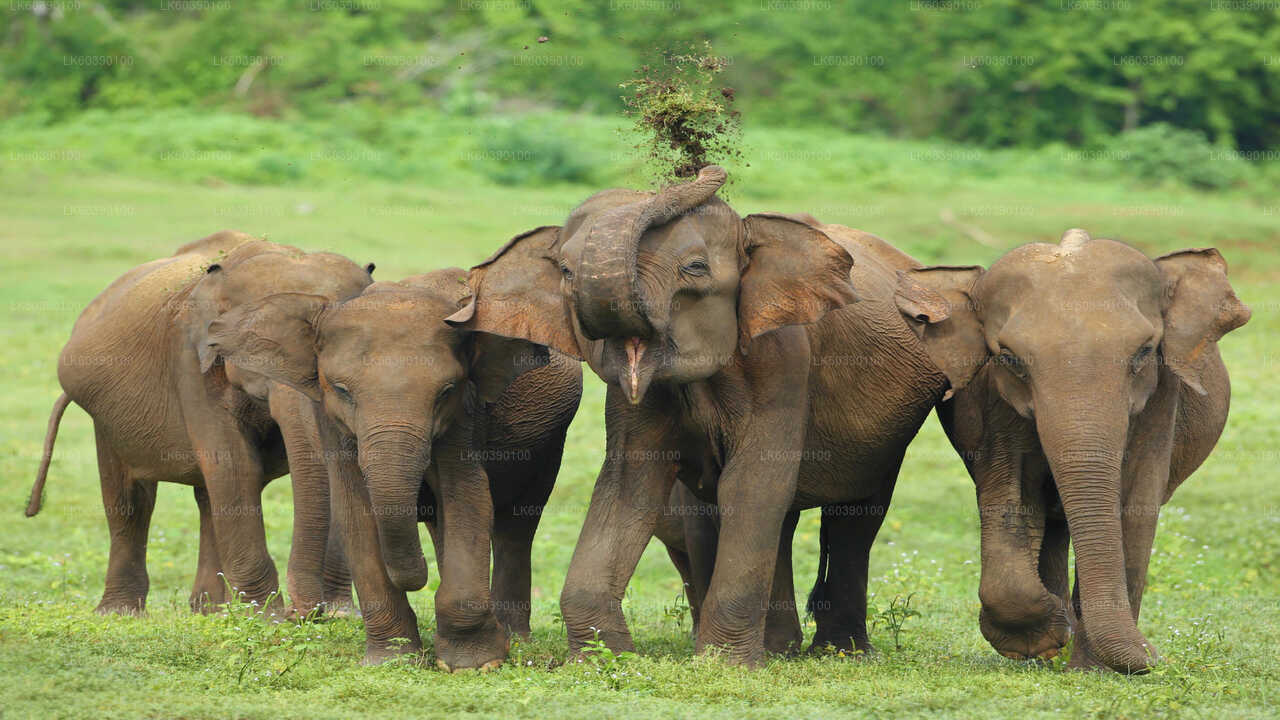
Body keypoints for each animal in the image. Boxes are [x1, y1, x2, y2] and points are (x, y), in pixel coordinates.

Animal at [26, 233, 373, 614]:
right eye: (252, 345)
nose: (305, 613)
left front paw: (339, 615)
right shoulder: (191, 361)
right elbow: (234, 465)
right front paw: (268, 617)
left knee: (206, 498)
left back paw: (209, 610)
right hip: (105, 415)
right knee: (131, 500)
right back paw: (121, 613)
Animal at [199, 267, 586, 666]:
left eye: (446, 391)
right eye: (342, 390)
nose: (417, 578)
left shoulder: (466, 413)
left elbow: (467, 496)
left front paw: (475, 664)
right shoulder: (331, 419)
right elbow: (355, 510)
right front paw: (393, 659)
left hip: (549, 441)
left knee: (517, 525)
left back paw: (514, 638)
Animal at [445, 165, 957, 666]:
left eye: (694, 269)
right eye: (566, 272)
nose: (703, 168)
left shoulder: (784, 360)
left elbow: (751, 484)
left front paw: (722, 664)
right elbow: (630, 484)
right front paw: (602, 660)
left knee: (855, 517)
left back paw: (838, 653)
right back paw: (781, 650)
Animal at [901, 229, 1249, 671]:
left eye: (1144, 352)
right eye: (1010, 359)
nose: (1156, 655)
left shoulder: (1161, 398)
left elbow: (1135, 504)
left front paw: (1094, 669)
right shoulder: (993, 399)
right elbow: (1011, 493)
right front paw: (1042, 640)